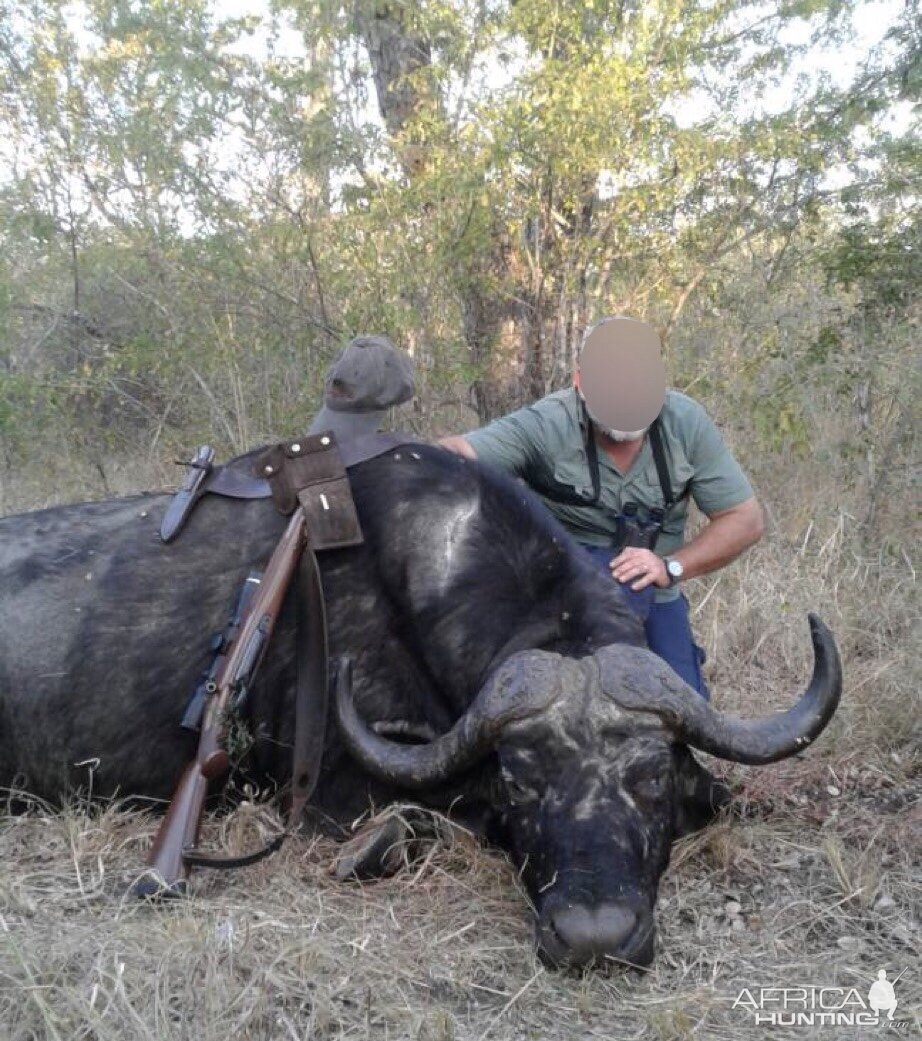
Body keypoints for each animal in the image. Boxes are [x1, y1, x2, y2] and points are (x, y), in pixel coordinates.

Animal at [0, 445, 840, 966]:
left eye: (652, 779)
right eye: (520, 780)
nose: (593, 936)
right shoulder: (331, 787)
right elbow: (416, 818)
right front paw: (373, 847)